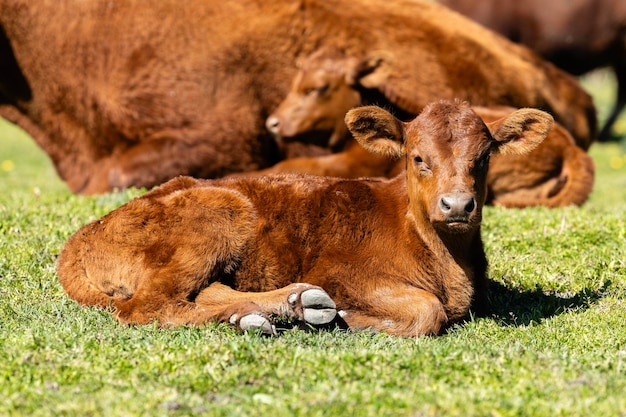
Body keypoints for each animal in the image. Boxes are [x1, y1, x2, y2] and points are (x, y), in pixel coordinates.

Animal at [57, 101, 552, 338]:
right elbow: (426, 310)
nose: (457, 205)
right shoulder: (343, 272)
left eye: (483, 159)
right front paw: (352, 318)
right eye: (418, 158)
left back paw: (283, 307)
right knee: (148, 307)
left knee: (205, 292)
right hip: (220, 210)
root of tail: (81, 236)